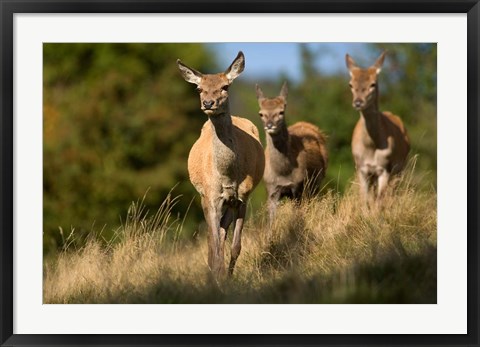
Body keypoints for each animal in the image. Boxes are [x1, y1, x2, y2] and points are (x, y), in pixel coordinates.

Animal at [177, 52, 266, 280]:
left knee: (222, 232)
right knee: (212, 238)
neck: (228, 174)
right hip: (204, 197)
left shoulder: (243, 196)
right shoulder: (211, 196)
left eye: (225, 86)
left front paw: (228, 278)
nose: (208, 103)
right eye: (199, 89)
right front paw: (217, 276)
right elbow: (215, 247)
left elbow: (236, 247)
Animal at [256, 83, 328, 227]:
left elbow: (296, 218)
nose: (269, 125)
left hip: (315, 183)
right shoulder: (271, 189)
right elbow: (270, 223)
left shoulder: (298, 186)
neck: (283, 172)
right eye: (261, 113)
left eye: (281, 111)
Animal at [346, 51, 410, 207]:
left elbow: (379, 203)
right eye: (350, 84)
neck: (371, 146)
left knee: (392, 194)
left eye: (373, 84)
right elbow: (365, 200)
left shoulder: (385, 168)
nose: (358, 102)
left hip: (400, 169)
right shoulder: (362, 168)